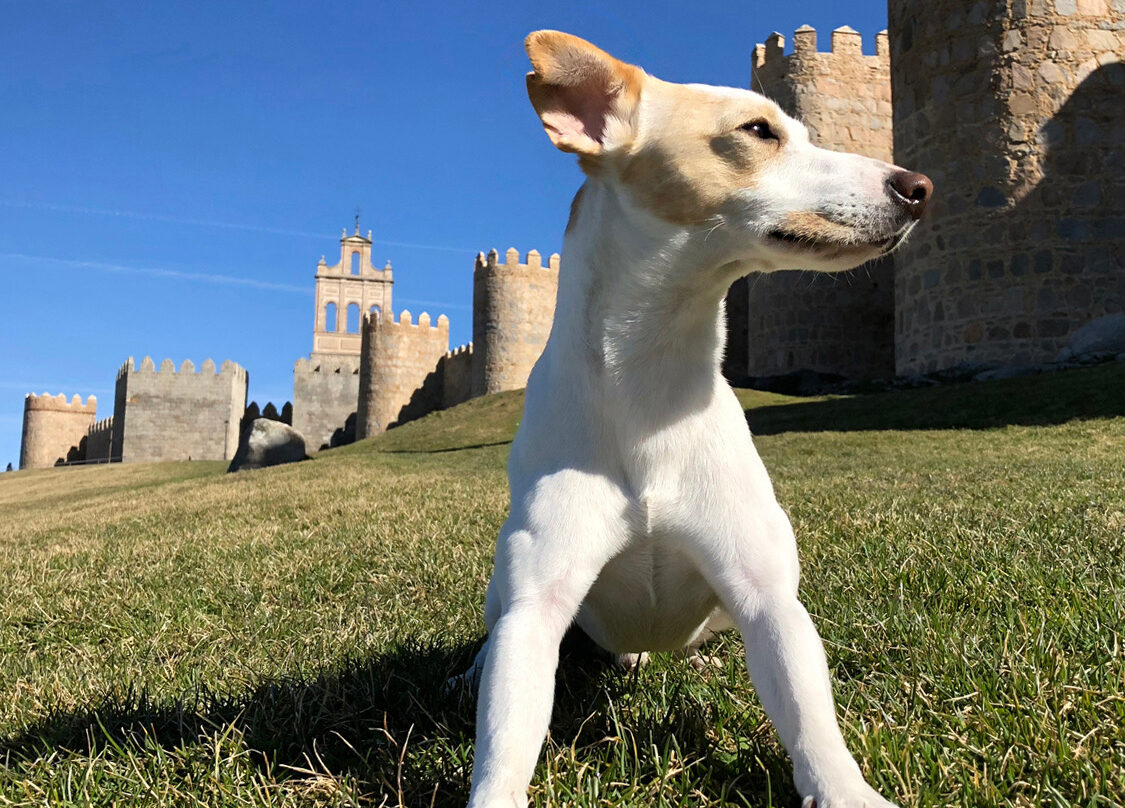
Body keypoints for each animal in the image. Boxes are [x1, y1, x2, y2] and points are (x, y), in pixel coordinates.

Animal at [456, 30, 931, 808]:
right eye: (758, 131)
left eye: (804, 131)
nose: (919, 187)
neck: (651, 385)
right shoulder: (536, 609)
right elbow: (504, 740)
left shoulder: (768, 599)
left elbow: (810, 720)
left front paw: (845, 790)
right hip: (506, 585)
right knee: (496, 631)